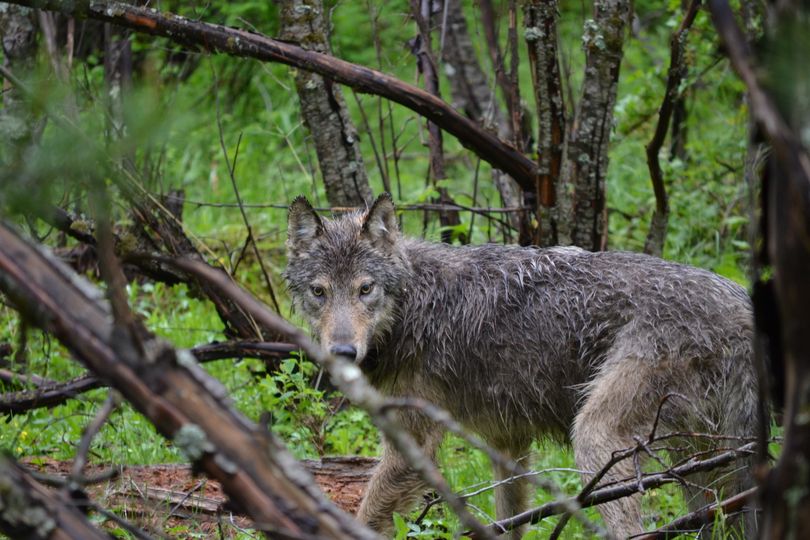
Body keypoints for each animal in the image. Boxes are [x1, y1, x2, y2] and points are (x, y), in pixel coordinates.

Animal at [284, 193, 756, 536]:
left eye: (366, 289)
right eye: (319, 292)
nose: (343, 353)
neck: (415, 306)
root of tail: (740, 303)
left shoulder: (412, 446)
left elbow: (364, 517)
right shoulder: (507, 443)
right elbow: (507, 520)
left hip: (597, 439)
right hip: (702, 463)